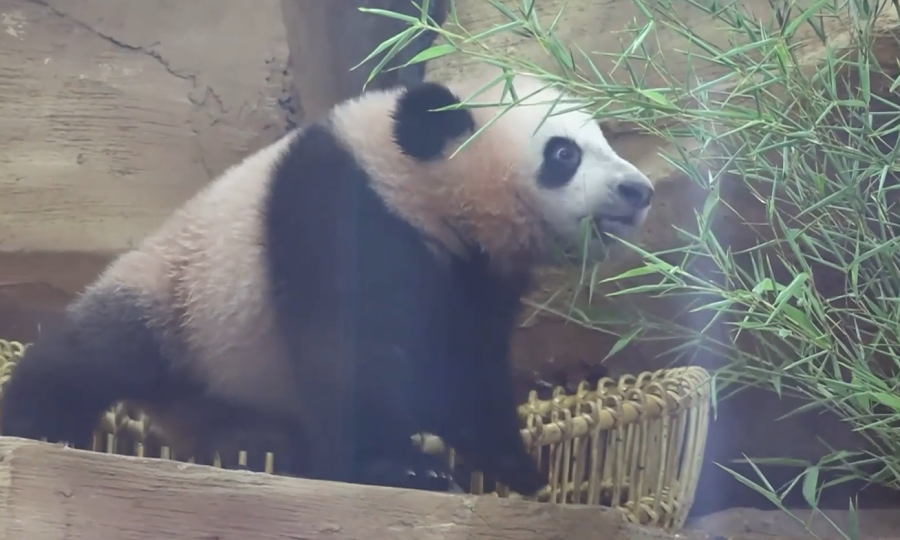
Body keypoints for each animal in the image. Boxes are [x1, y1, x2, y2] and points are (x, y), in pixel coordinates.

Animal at [0, 70, 653, 495]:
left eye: (603, 139)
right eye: (564, 153)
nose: (639, 190)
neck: (419, 189)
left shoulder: (476, 274)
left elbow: (470, 371)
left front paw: (520, 472)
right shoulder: (339, 209)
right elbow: (353, 352)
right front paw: (406, 469)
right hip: (177, 298)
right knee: (87, 357)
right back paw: (36, 423)